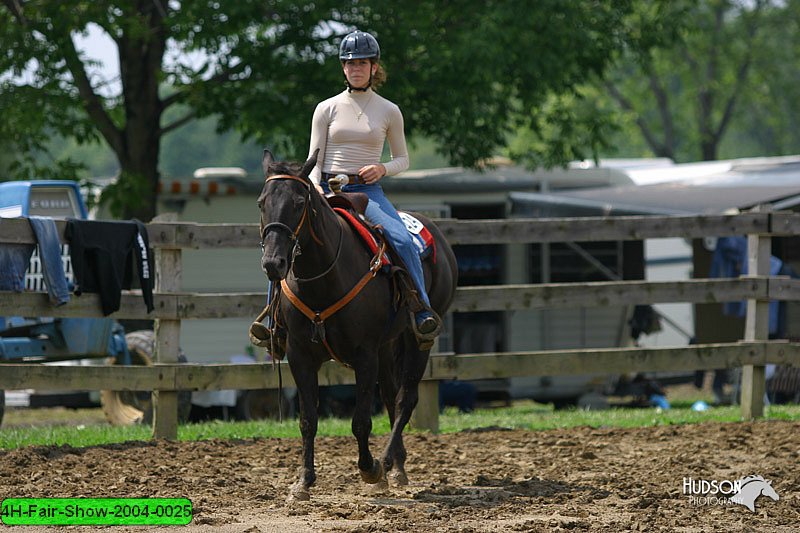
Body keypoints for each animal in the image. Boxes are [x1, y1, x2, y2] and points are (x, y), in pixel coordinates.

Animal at [256, 149, 456, 498]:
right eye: (261, 202)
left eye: (299, 201)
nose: (273, 263)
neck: (324, 278)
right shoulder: (300, 356)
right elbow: (308, 420)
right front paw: (303, 481)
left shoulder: (364, 355)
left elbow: (360, 421)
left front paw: (370, 469)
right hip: (388, 345)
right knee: (390, 396)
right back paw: (397, 468)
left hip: (416, 340)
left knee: (405, 399)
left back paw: (386, 463)